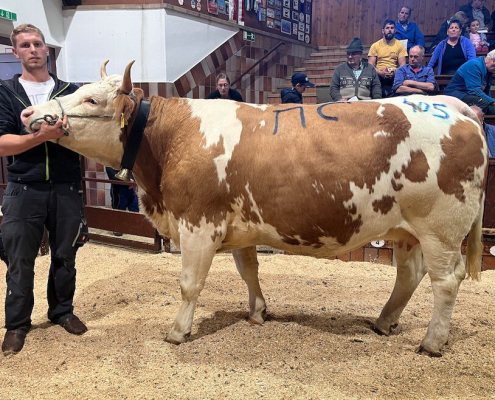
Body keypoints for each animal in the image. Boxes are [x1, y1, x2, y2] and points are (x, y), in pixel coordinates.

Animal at [20, 61, 488, 356]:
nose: (30, 113)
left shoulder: (198, 224)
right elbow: (249, 271)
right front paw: (258, 312)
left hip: (441, 229)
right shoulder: (240, 225)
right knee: (409, 275)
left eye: (92, 101)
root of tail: (455, 105)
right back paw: (384, 321)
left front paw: (177, 331)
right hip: (406, 229)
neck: (170, 139)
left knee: (446, 282)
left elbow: (189, 284)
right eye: (77, 90)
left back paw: (432, 343)